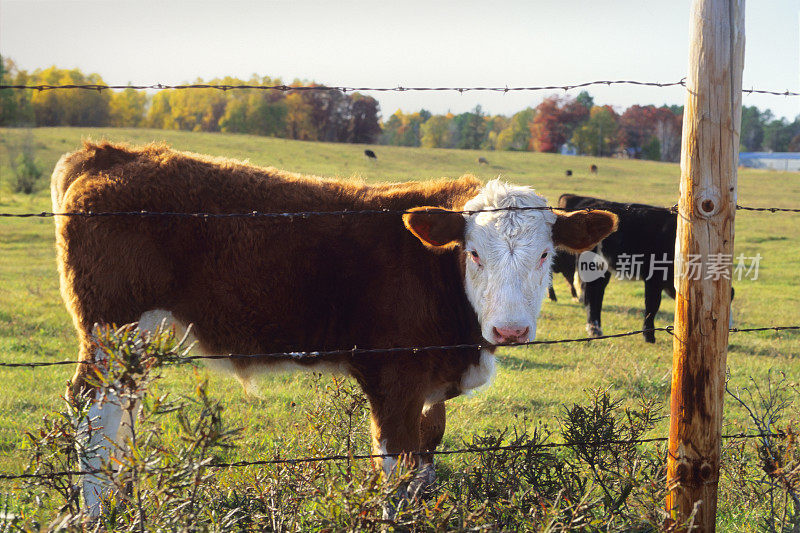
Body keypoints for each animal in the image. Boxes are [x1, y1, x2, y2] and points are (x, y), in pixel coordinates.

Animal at [50, 140, 620, 512]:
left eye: (546, 254)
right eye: (474, 254)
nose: (509, 330)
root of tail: (112, 152)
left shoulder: (430, 387)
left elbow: (426, 460)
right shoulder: (393, 379)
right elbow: (397, 471)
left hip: (136, 341)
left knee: (122, 410)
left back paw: (124, 499)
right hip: (109, 330)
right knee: (92, 412)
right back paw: (97, 512)